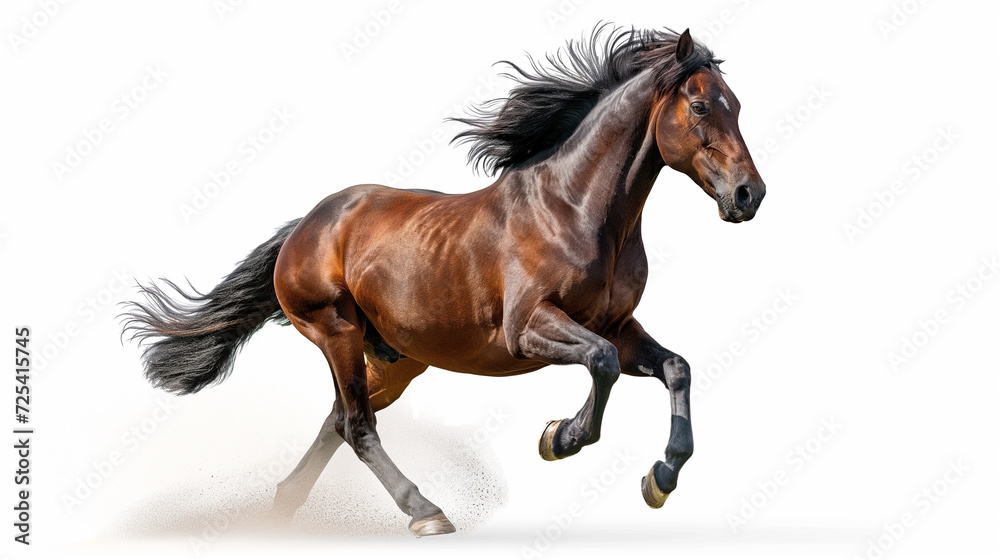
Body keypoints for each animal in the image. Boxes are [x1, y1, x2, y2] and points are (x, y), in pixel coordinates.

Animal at [122, 26, 765, 537]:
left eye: (736, 105)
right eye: (701, 107)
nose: (748, 195)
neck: (575, 210)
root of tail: (307, 225)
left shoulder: (618, 323)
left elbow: (675, 367)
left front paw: (661, 476)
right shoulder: (529, 329)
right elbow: (602, 364)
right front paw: (560, 437)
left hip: (395, 359)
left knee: (337, 420)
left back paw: (284, 510)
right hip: (336, 331)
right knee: (357, 426)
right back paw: (425, 511)